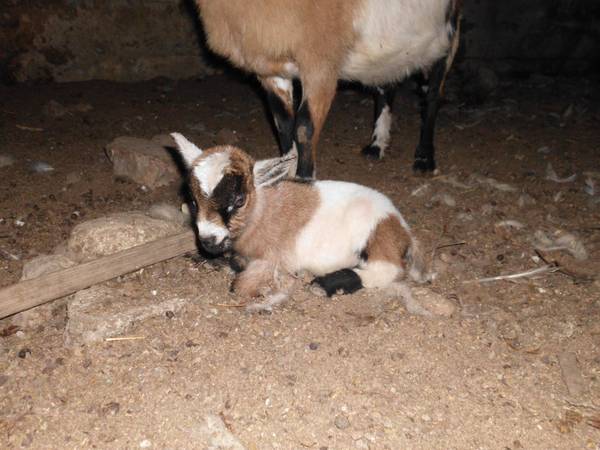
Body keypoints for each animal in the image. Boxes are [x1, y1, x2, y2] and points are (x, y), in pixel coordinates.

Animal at [171, 132, 428, 312]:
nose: (208, 240)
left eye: (239, 200)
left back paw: (325, 284)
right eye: (193, 201)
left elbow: (240, 286)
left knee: (387, 271)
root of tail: (402, 229)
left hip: (376, 239)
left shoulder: (273, 259)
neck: (261, 212)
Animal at [195, 0, 462, 178]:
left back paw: (424, 159)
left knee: (432, 97)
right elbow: (284, 125)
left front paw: (304, 181)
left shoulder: (321, 65)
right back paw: (376, 146)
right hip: (390, 56)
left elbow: (304, 128)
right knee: (386, 90)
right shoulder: (272, 71)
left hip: (446, 39)